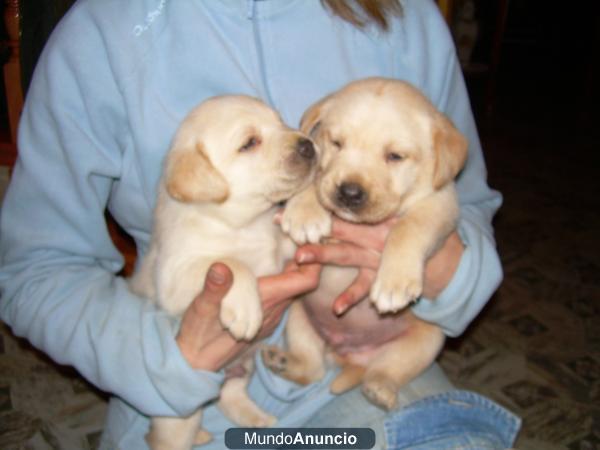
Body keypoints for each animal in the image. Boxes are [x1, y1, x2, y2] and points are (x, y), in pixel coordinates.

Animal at [129, 96, 318, 450]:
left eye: (280, 121)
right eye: (250, 143)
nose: (309, 145)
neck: (246, 222)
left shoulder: (282, 247)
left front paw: (310, 215)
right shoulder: (175, 276)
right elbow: (232, 264)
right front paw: (245, 309)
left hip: (243, 368)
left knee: (230, 395)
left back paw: (257, 419)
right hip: (178, 418)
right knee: (162, 438)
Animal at [264, 78, 468, 412]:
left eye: (395, 156)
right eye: (336, 143)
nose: (349, 192)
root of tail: (347, 356)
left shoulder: (441, 203)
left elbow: (407, 228)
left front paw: (394, 282)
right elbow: (315, 176)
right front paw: (306, 211)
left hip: (428, 341)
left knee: (385, 370)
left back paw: (380, 389)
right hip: (298, 317)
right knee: (311, 369)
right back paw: (280, 360)